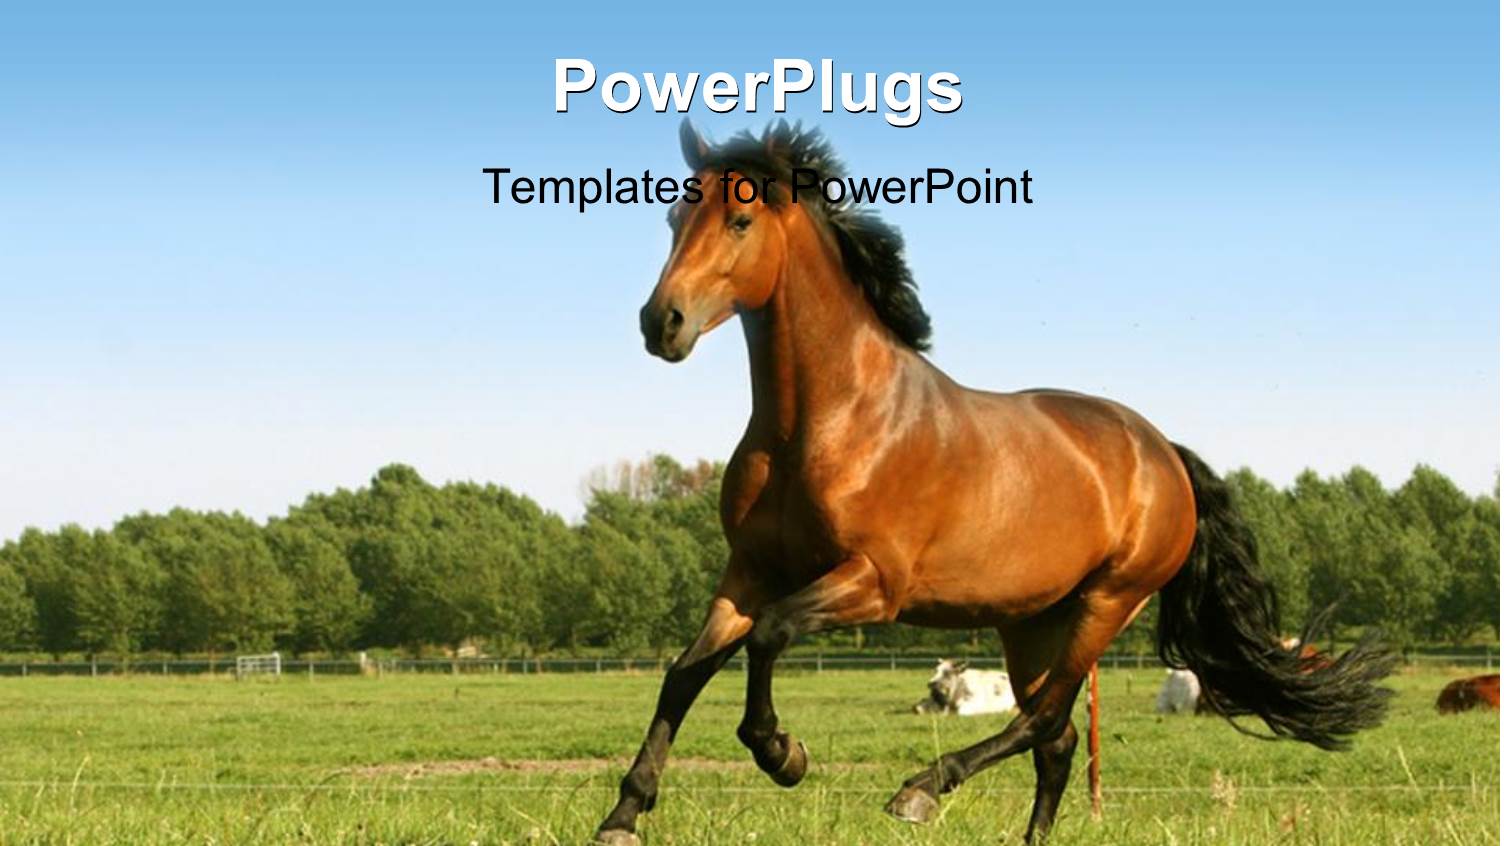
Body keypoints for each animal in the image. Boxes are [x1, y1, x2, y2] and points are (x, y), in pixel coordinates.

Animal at [592, 121, 1396, 845]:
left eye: (740, 218)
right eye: (675, 215)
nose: (661, 323)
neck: (826, 422)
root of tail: (1162, 453)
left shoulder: (872, 583)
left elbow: (770, 635)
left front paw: (783, 755)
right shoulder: (750, 571)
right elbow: (684, 673)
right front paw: (623, 815)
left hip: (1106, 604)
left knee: (1043, 720)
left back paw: (919, 790)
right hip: (1031, 620)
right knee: (1058, 742)